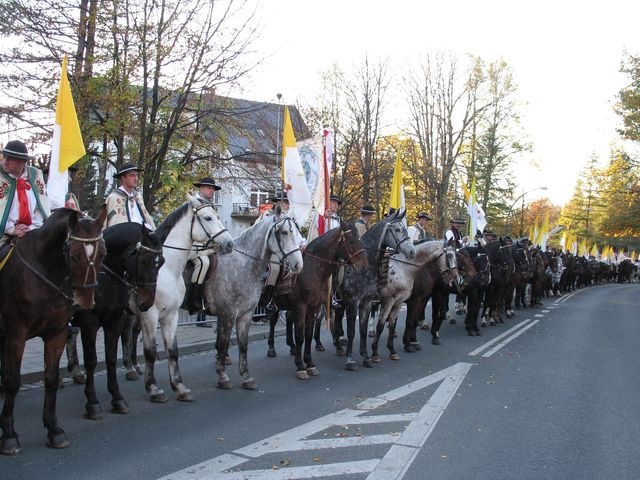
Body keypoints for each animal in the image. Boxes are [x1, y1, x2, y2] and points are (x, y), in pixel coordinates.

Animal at [0, 207, 106, 454]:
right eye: (74, 255)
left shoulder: (56, 333)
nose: (85, 303)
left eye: (102, 255)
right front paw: (9, 434)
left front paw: (54, 429)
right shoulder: (16, 335)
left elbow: (51, 378)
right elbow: (12, 381)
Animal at [71, 223, 164, 418]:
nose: (146, 303)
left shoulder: (115, 321)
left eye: (162, 262)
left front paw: (117, 398)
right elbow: (91, 360)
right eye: (144, 260)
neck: (106, 277)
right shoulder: (89, 323)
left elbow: (111, 358)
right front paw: (92, 402)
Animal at [129, 194, 234, 402]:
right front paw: (153, 388)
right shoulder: (150, 314)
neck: (166, 269)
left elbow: (173, 351)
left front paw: (179, 387)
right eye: (208, 218)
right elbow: (151, 352)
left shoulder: (171, 315)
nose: (229, 243)